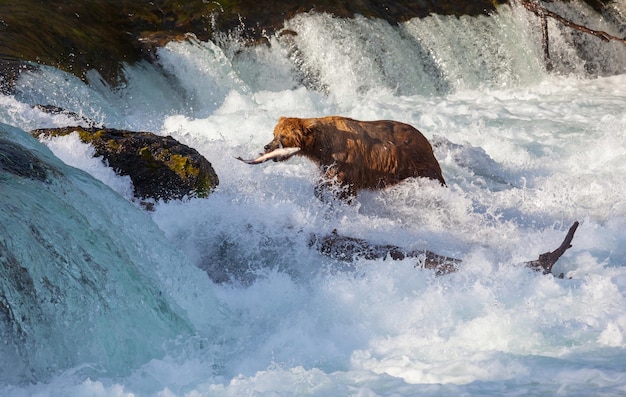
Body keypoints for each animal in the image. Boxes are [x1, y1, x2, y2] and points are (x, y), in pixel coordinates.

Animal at [241, 116, 446, 200]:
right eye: (274, 133)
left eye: (282, 136)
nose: (267, 146)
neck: (320, 145)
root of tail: (425, 138)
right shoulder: (327, 162)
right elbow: (326, 182)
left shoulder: (346, 161)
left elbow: (344, 186)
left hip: (419, 162)